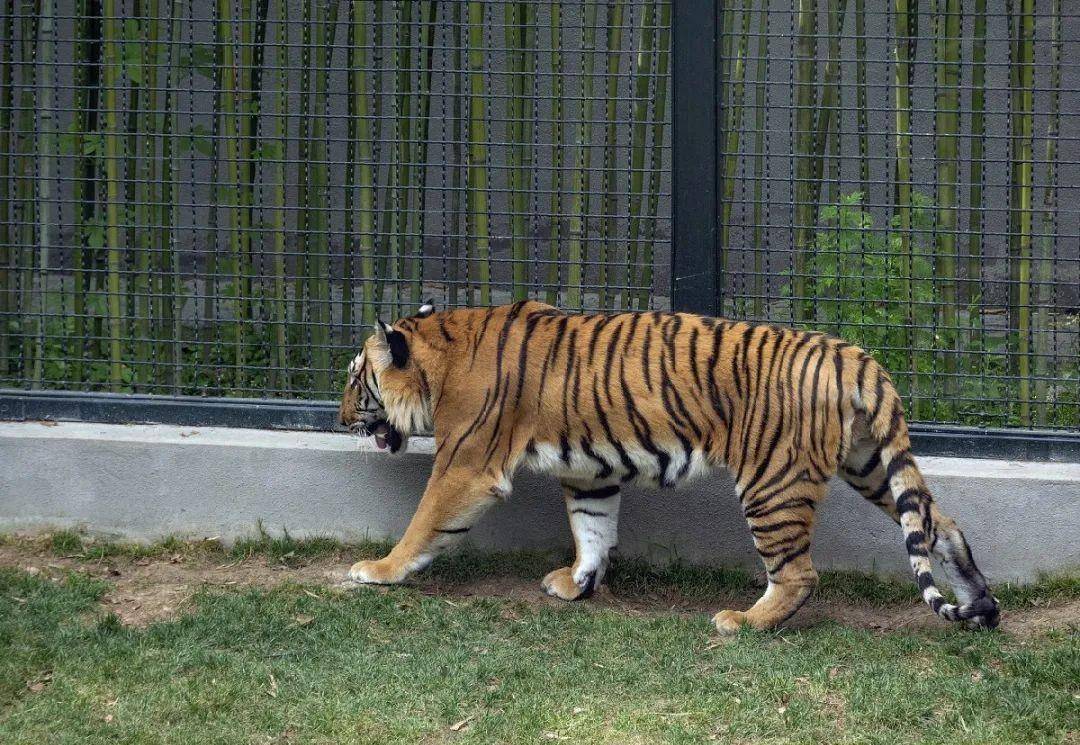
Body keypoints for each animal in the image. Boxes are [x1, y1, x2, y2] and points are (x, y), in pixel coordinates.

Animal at [341, 300, 997, 630]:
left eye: (355, 379)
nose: (342, 416)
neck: (439, 357)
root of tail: (853, 354)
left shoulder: (467, 462)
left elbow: (425, 523)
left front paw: (379, 570)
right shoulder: (589, 469)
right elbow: (591, 528)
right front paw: (578, 584)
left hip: (772, 482)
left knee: (799, 574)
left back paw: (744, 621)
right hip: (871, 464)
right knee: (939, 525)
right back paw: (981, 605)